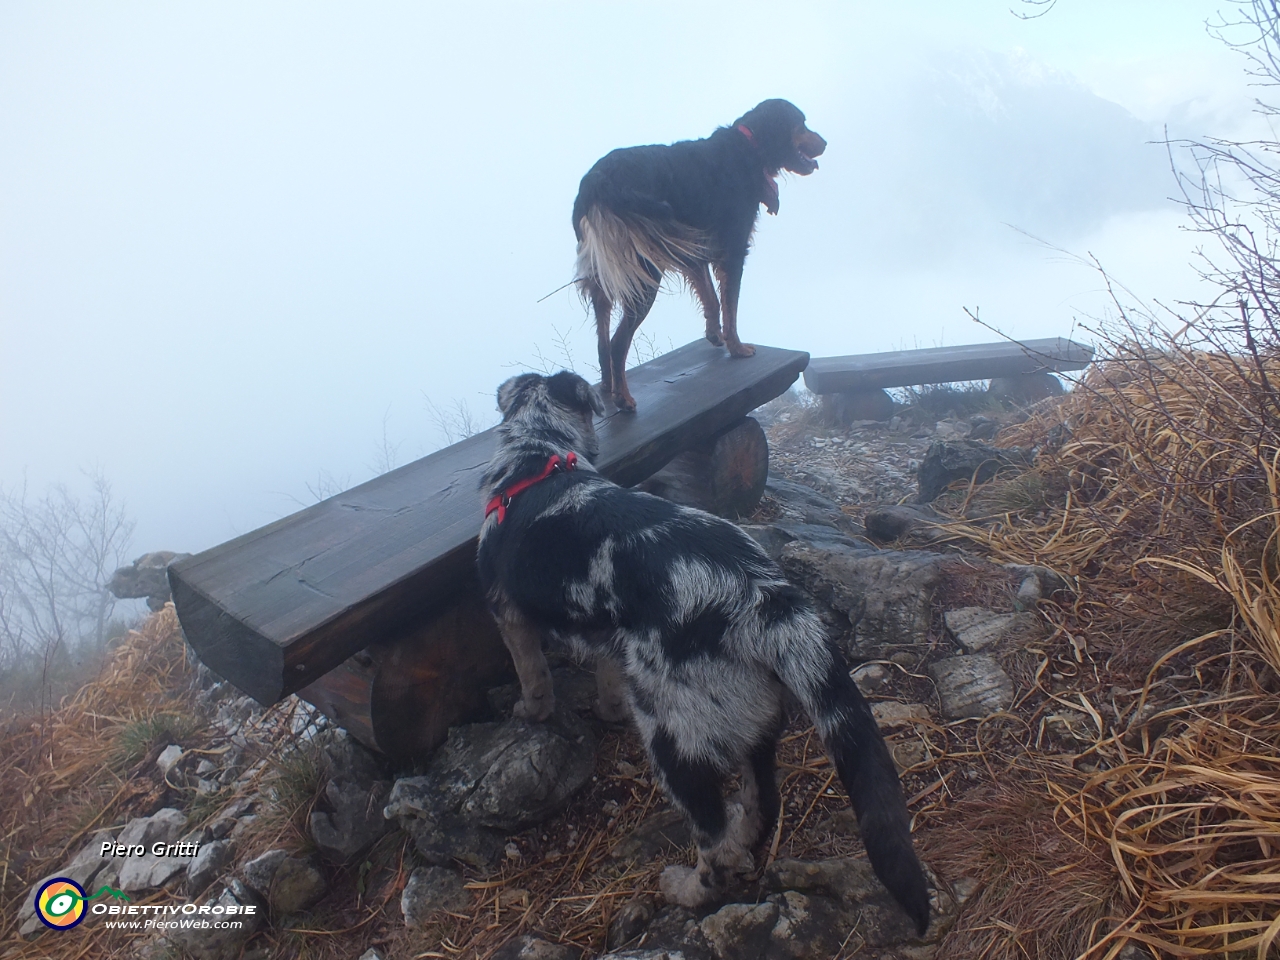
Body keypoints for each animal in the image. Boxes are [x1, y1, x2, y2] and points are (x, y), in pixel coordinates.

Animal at [478, 371, 931, 936]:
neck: (538, 455)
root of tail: (760, 599)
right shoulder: (604, 633)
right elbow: (607, 679)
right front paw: (606, 710)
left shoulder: (507, 612)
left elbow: (533, 676)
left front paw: (529, 712)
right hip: (756, 722)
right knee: (762, 806)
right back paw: (745, 838)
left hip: (675, 742)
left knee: (715, 847)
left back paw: (687, 890)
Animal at [573, 99, 829, 412]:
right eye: (801, 124)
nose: (825, 143)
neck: (749, 145)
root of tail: (597, 182)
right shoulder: (733, 249)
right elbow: (730, 305)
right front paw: (736, 346)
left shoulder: (694, 250)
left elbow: (711, 297)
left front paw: (714, 334)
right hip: (643, 274)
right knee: (619, 342)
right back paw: (624, 397)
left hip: (605, 272)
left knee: (603, 339)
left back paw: (608, 386)